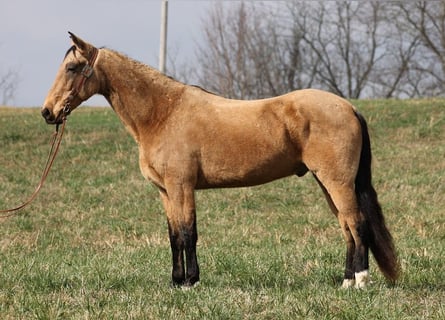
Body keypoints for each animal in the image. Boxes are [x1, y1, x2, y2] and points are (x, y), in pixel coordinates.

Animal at [40, 33, 398, 290]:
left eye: (72, 68)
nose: (47, 112)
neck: (163, 113)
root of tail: (349, 107)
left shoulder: (182, 187)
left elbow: (188, 233)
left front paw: (191, 282)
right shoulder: (166, 192)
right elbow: (173, 235)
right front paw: (176, 281)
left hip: (338, 182)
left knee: (357, 223)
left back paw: (360, 281)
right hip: (327, 183)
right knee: (346, 227)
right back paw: (346, 281)